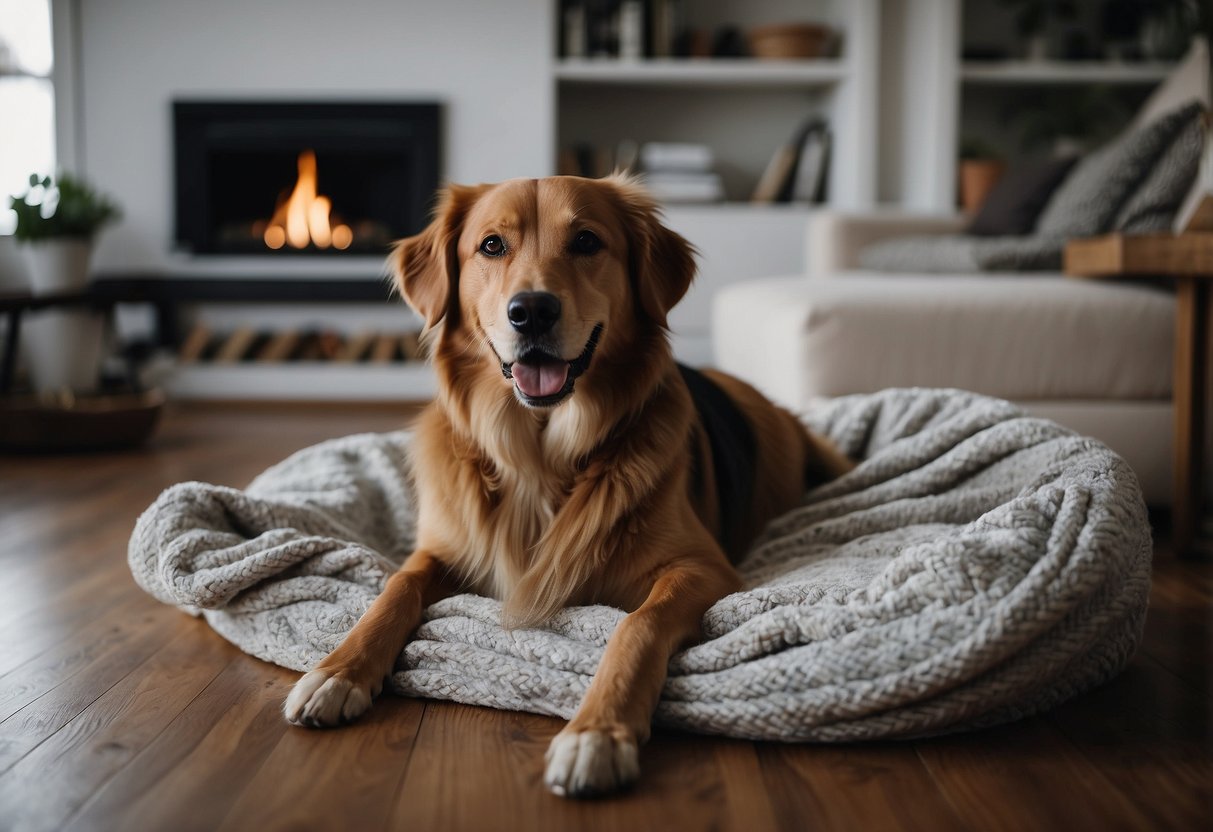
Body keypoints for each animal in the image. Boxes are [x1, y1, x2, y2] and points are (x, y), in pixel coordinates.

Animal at [283, 174, 853, 795]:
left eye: (586, 241)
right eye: (491, 246)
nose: (531, 311)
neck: (540, 456)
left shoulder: (703, 568)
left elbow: (639, 624)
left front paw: (597, 733)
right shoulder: (440, 550)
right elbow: (394, 589)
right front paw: (337, 671)